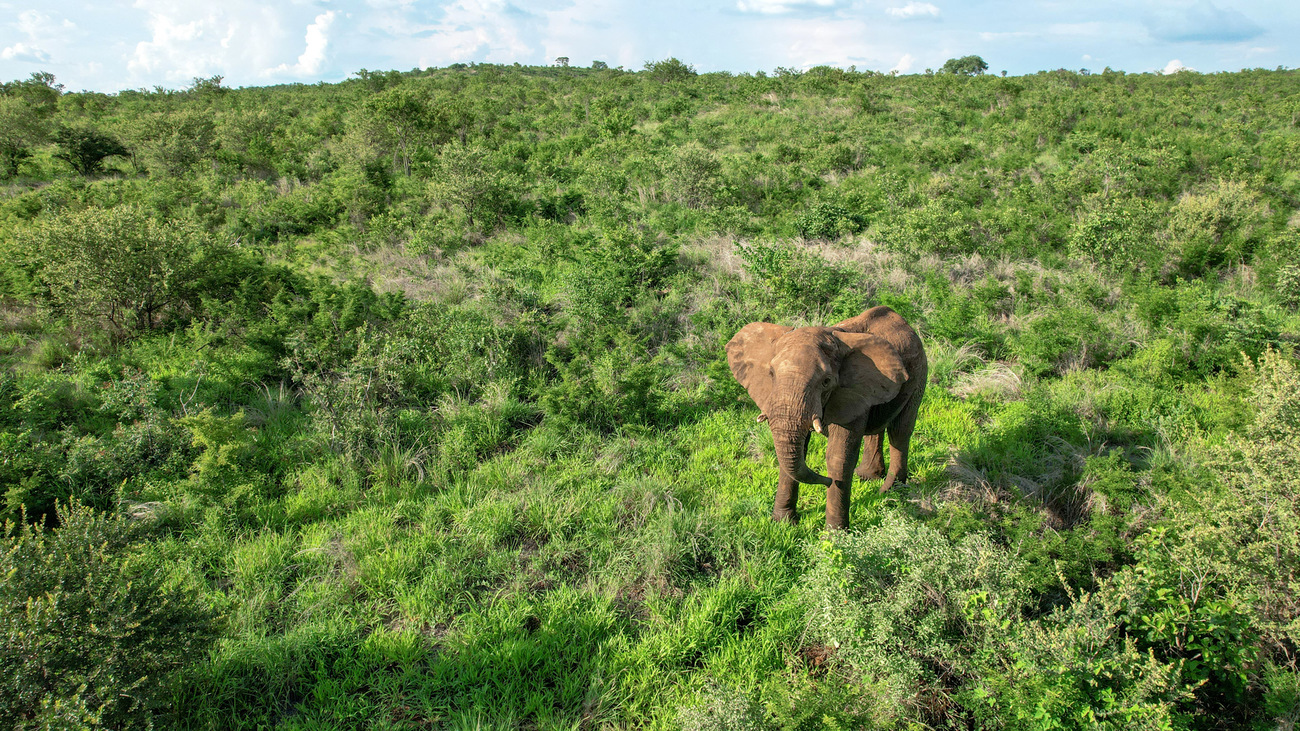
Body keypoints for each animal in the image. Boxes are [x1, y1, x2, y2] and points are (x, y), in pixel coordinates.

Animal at [728, 304, 930, 525]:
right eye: (771, 374)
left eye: (826, 381)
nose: (826, 481)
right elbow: (797, 450)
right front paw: (783, 522)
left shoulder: (851, 392)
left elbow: (838, 456)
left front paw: (835, 532)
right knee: (877, 427)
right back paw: (867, 477)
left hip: (919, 374)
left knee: (900, 432)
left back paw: (890, 491)